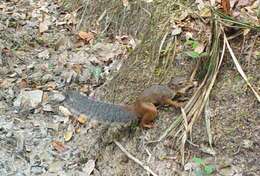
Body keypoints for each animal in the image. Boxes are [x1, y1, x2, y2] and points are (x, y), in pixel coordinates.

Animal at [63, 78, 195, 128]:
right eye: (181, 83)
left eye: (182, 78)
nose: (189, 81)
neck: (170, 88)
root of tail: (135, 107)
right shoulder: (165, 97)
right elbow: (170, 101)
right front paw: (180, 104)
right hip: (151, 109)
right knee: (142, 122)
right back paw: (147, 125)